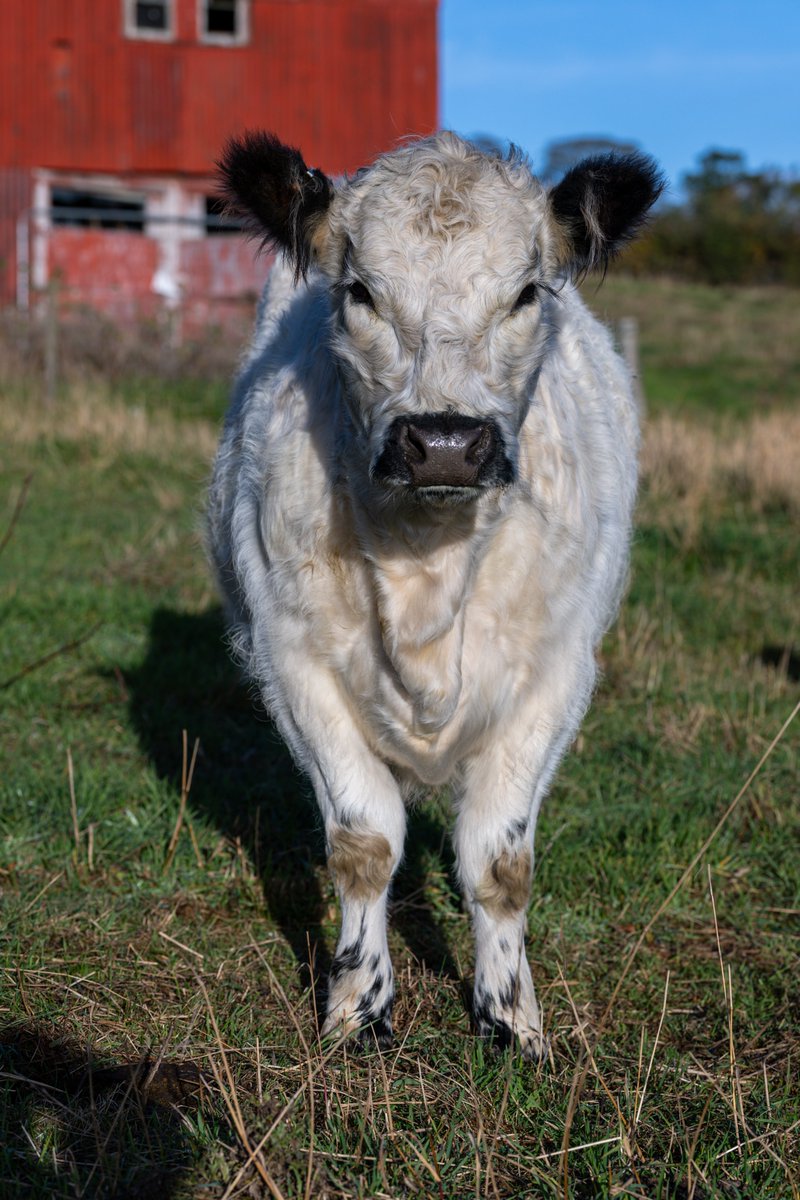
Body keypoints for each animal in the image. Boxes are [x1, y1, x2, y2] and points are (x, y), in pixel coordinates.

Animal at [208, 130, 663, 1057]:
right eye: (360, 292)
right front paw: (357, 1008)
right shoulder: (294, 665)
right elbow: (364, 844)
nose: (447, 442)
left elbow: (499, 861)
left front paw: (512, 1019)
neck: (427, 563)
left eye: (525, 292)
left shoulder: (555, 675)